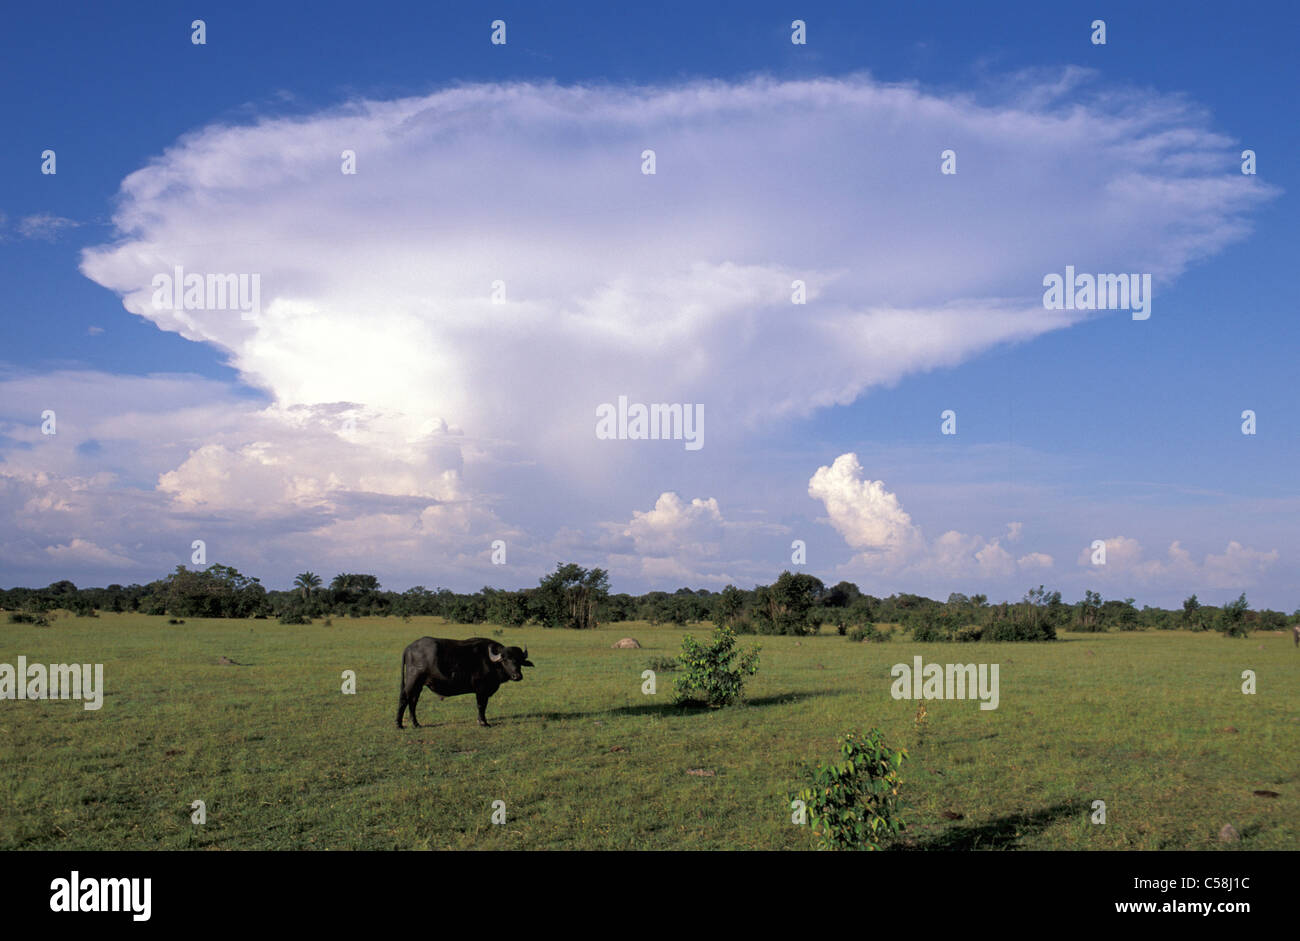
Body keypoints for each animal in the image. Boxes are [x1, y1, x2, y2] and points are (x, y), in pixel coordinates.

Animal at [397, 636, 535, 733]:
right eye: (505, 660)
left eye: (519, 660)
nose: (517, 676)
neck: (490, 662)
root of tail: (409, 647)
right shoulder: (481, 690)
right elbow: (481, 706)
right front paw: (483, 723)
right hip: (412, 681)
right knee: (404, 699)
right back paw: (399, 724)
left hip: (419, 685)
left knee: (413, 701)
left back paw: (416, 724)